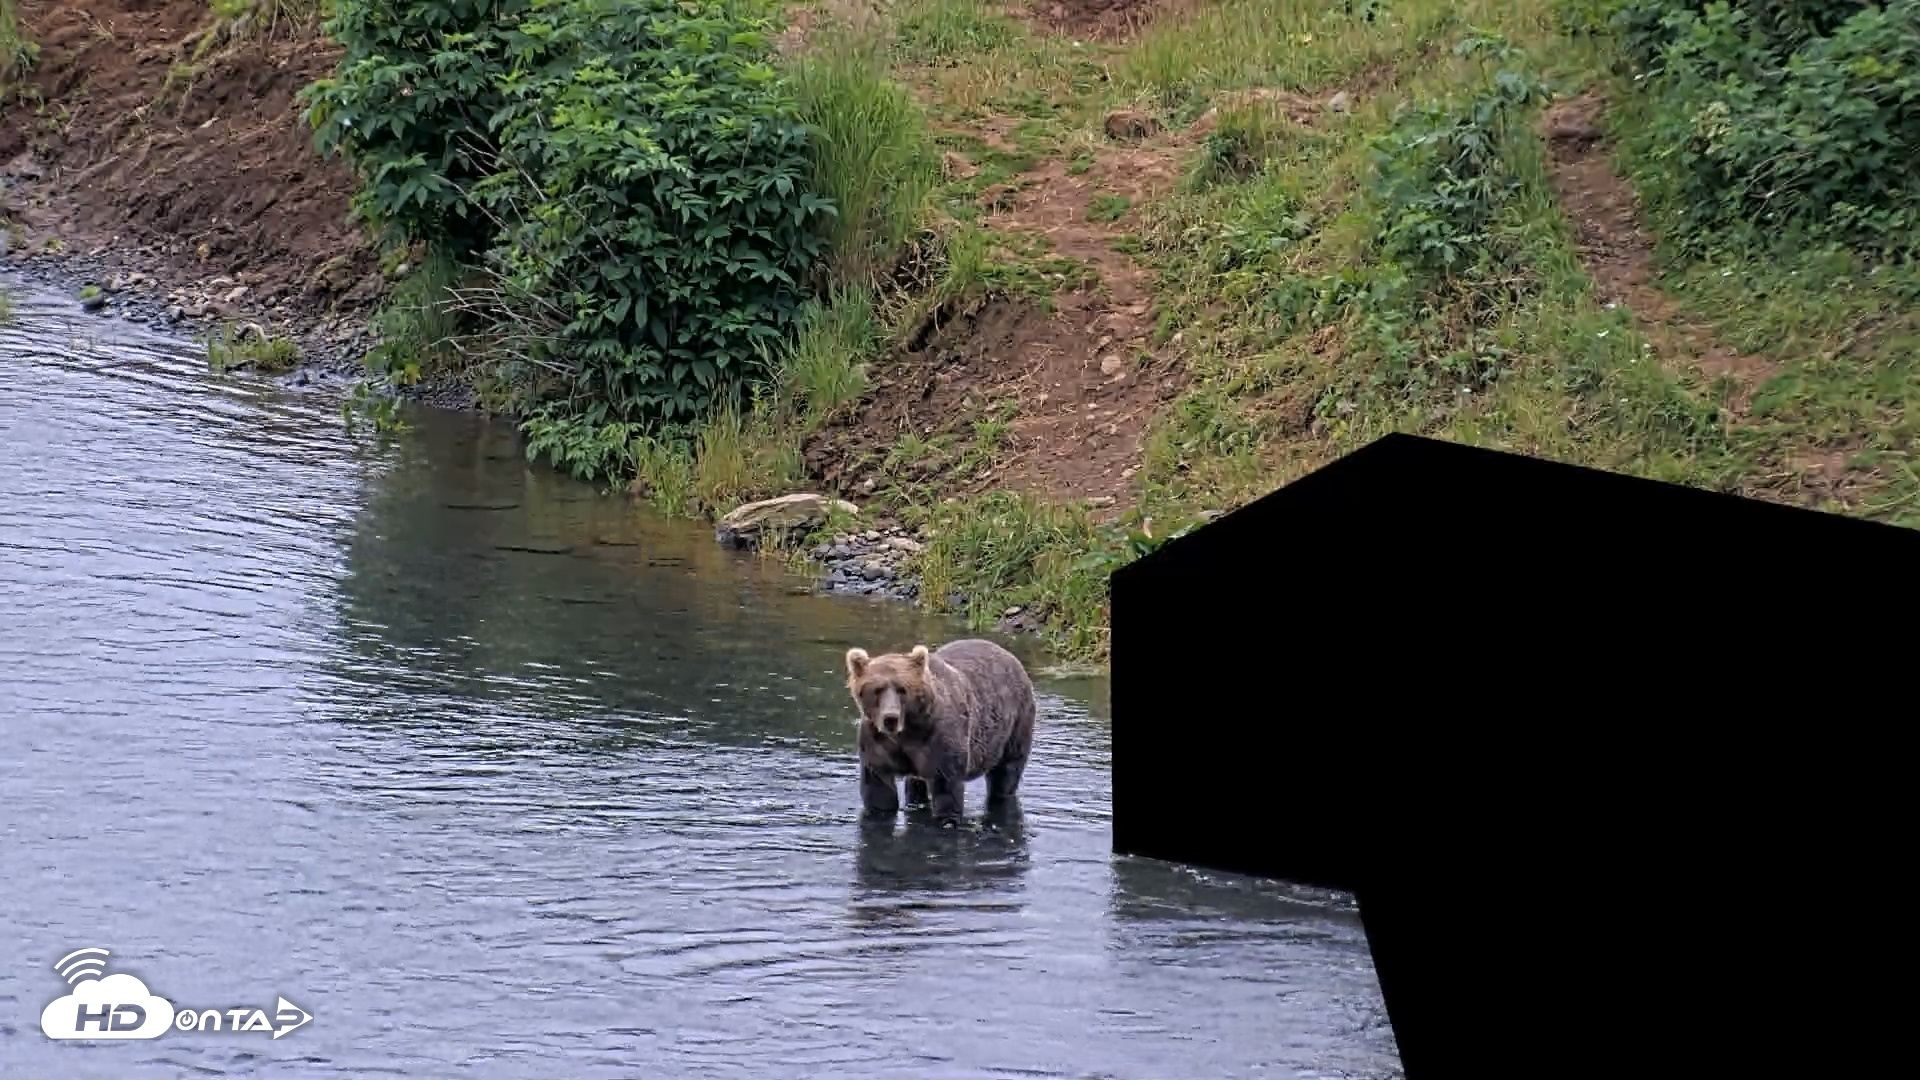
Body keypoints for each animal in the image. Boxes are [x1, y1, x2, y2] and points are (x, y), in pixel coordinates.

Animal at [844, 638, 1038, 824]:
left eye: (902, 689)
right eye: (877, 689)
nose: (890, 718)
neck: (907, 732)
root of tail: (1007, 654)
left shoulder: (939, 740)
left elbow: (946, 789)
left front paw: (947, 818)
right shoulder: (877, 743)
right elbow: (879, 791)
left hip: (1015, 722)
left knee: (1007, 771)